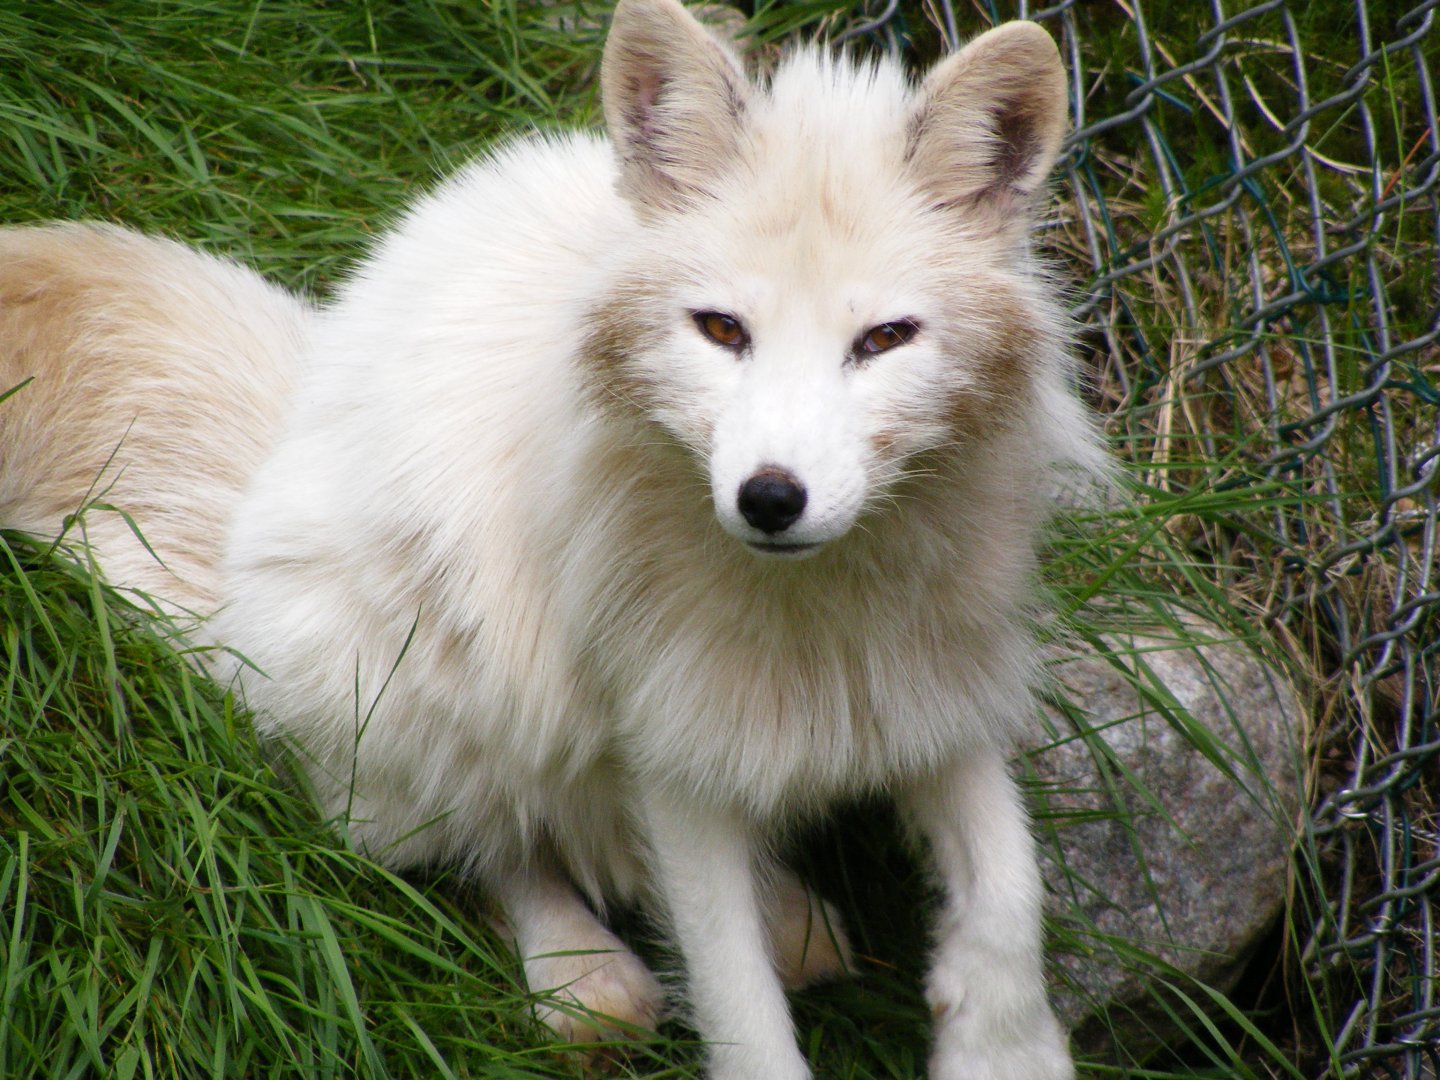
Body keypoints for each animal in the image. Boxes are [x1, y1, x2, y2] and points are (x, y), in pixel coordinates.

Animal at [0, 0, 1107, 1076]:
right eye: (721, 330)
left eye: (885, 340)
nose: (769, 498)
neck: (821, 612)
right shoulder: (669, 752)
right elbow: (736, 1006)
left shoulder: (932, 687)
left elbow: (1013, 887)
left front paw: (1002, 1045)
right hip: (429, 693)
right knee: (490, 847)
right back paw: (585, 976)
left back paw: (787, 919)